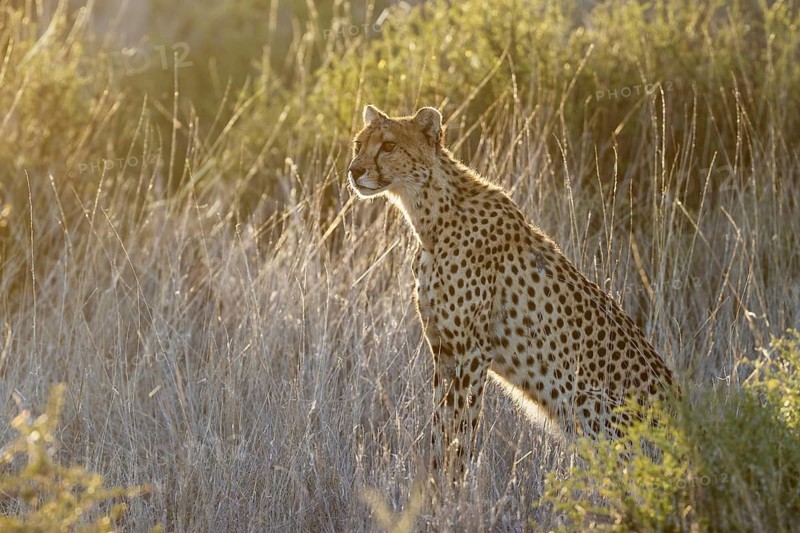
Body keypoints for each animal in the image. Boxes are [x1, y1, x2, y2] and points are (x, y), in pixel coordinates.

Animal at [347, 104, 680, 476]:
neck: (432, 213)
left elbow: (460, 430)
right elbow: (440, 427)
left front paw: (453, 485)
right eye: (359, 144)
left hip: (590, 405)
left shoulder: (471, 352)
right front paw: (433, 482)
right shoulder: (443, 350)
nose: (355, 170)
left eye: (389, 145)